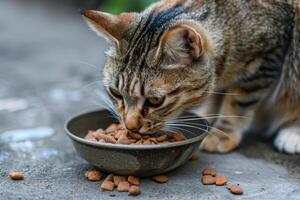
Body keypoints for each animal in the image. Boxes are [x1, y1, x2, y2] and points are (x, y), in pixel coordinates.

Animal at [82, 0, 300, 154]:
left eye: (155, 100)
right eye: (115, 93)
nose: (130, 126)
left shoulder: (265, 60)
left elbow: (237, 103)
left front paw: (221, 134)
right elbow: (215, 98)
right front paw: (207, 118)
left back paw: (292, 132)